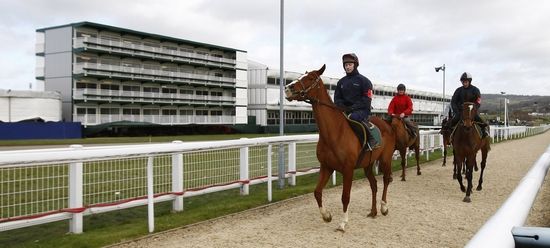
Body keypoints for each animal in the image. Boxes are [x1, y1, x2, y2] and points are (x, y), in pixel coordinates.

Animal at [284, 65, 396, 232]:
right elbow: (317, 192)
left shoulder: (348, 170)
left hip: (385, 159)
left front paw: (343, 223)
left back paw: (383, 207)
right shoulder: (326, 167)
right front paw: (327, 216)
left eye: (310, 78)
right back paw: (373, 211)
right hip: (368, 165)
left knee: (386, 180)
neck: (334, 133)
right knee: (374, 185)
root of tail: (387, 125)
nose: (287, 88)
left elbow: (345, 196)